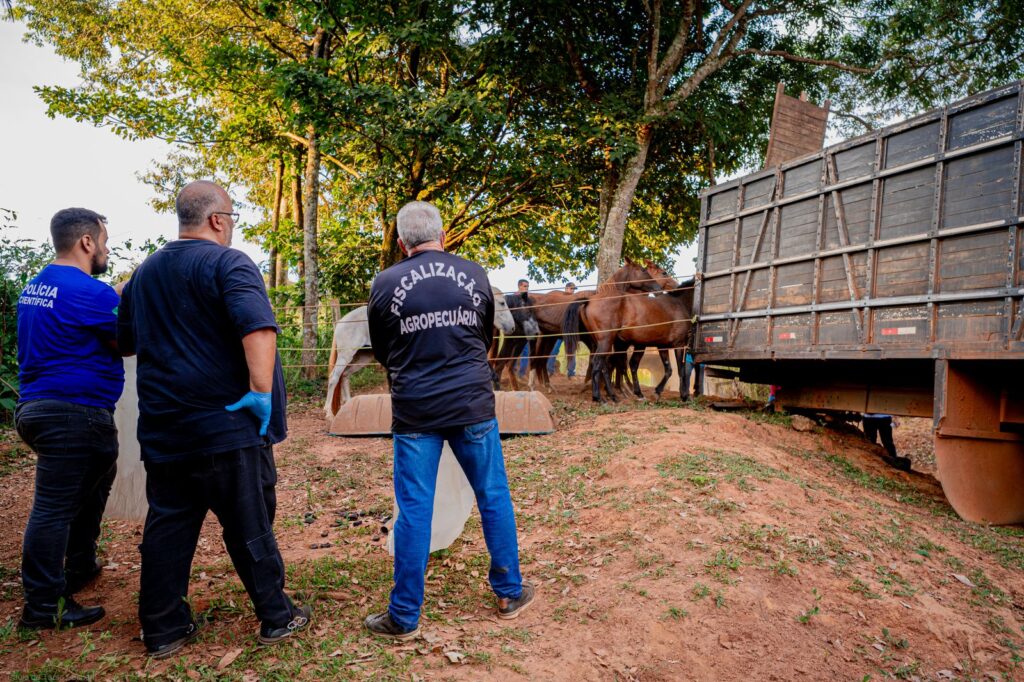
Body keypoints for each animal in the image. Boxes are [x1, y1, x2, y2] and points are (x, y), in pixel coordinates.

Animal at [325, 284, 516, 417]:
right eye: (502, 302)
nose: (512, 327)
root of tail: (341, 322)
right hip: (347, 355)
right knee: (334, 377)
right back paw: (329, 413)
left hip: (362, 357)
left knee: (345, 376)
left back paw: (347, 404)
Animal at [565, 259, 667, 399]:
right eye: (643, 270)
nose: (659, 289)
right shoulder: (620, 343)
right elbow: (619, 363)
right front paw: (627, 389)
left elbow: (617, 363)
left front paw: (622, 388)